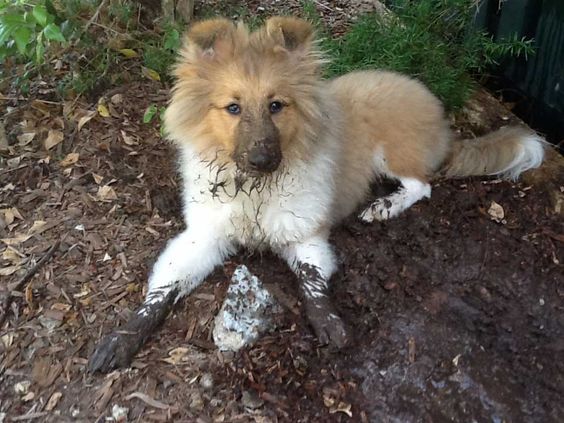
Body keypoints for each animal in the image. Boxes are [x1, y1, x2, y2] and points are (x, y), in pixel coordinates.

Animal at [89, 17, 548, 374]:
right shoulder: (205, 236)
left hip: (392, 152)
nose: (263, 159)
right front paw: (120, 339)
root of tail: (438, 114)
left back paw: (383, 206)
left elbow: (312, 279)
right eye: (232, 108)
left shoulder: (304, 233)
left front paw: (329, 323)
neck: (255, 191)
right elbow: (162, 288)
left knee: (424, 184)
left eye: (276, 105)